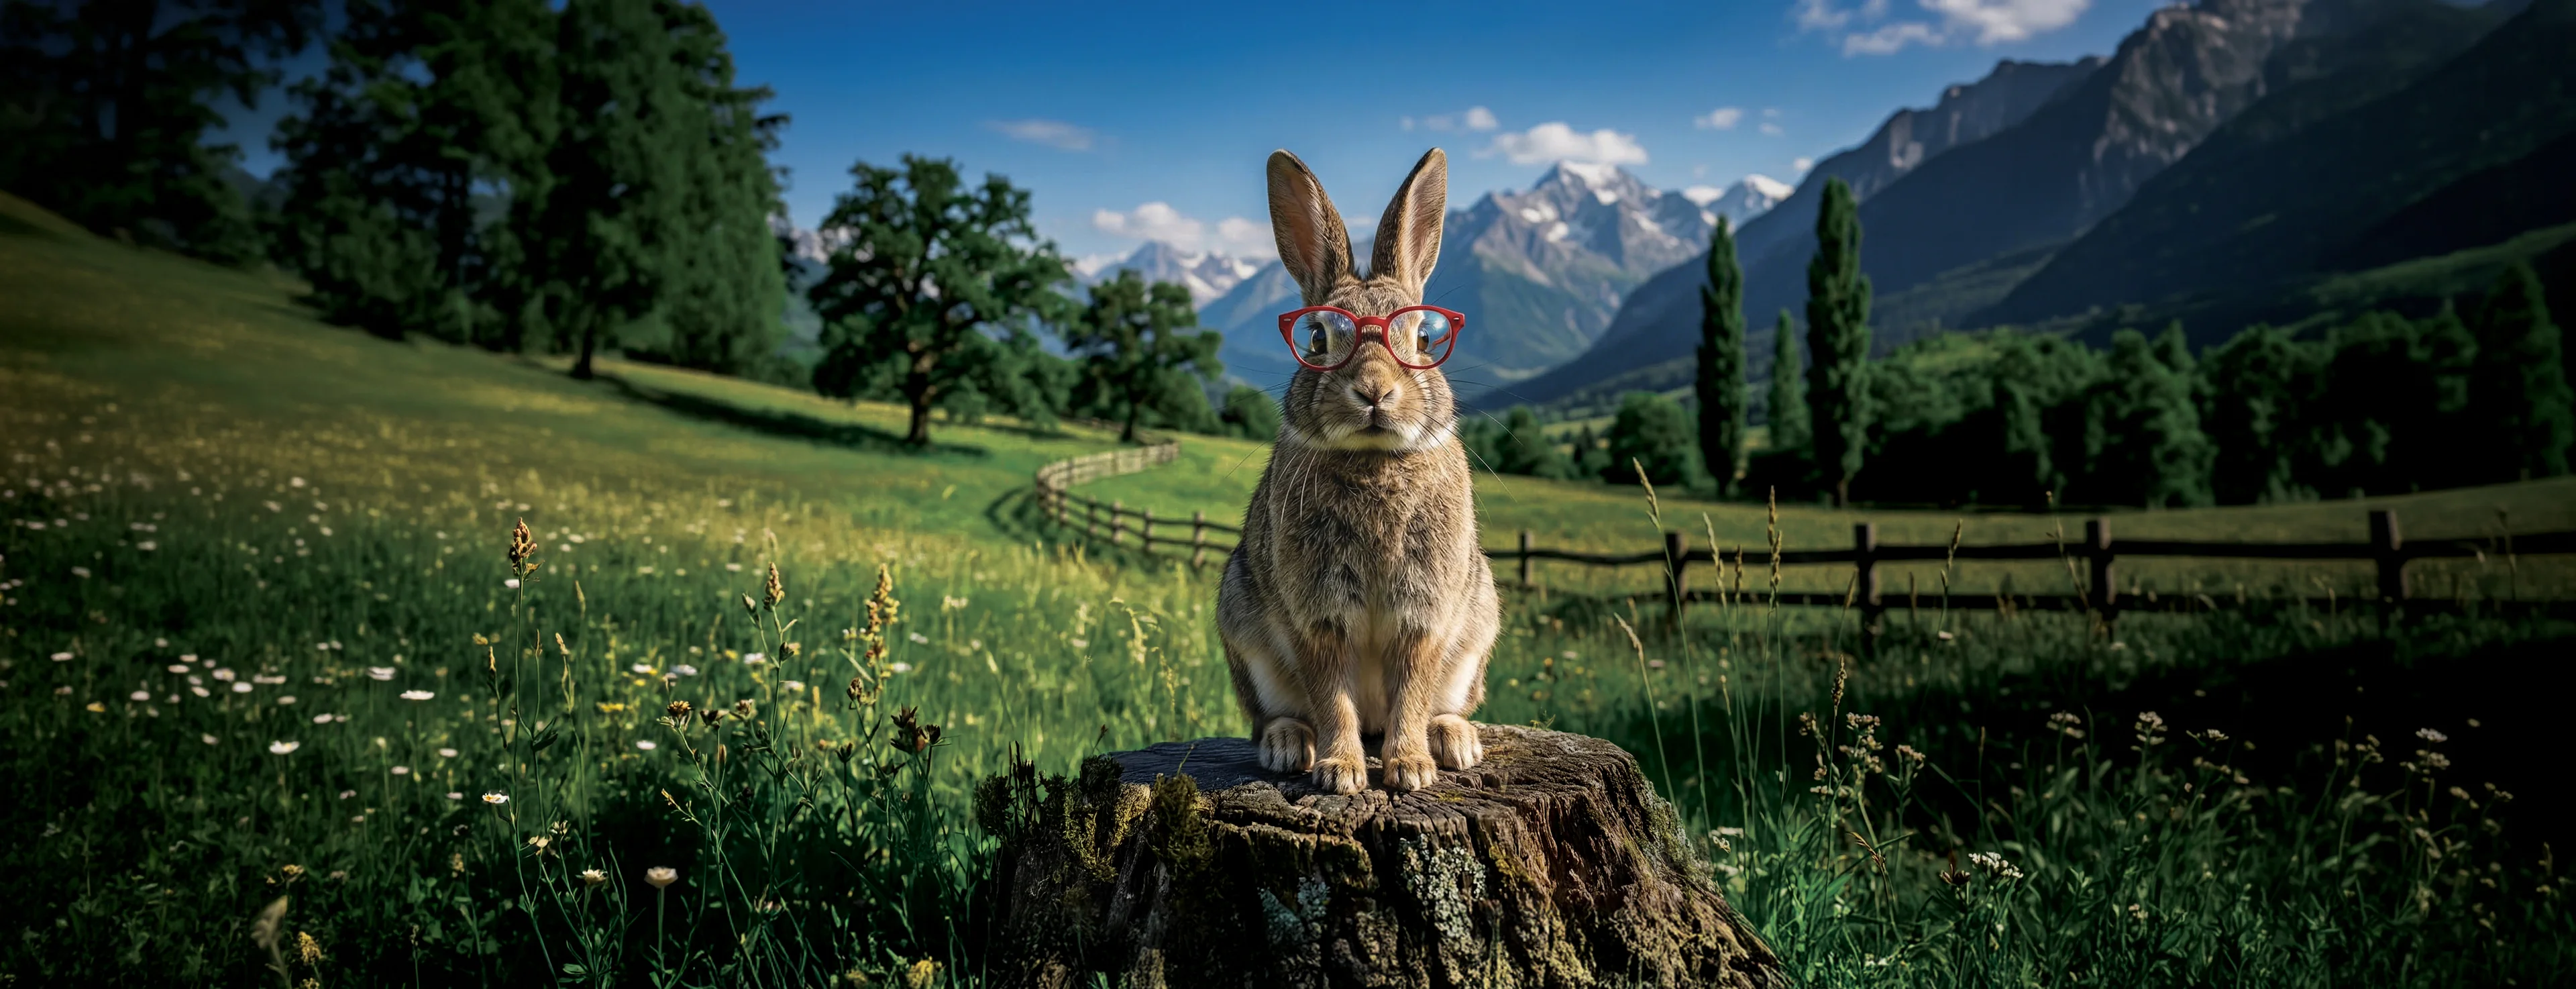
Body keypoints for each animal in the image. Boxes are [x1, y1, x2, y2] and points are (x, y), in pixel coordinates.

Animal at [1217, 148, 1500, 794]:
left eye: (1424, 337)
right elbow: (1332, 696)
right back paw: (1288, 746)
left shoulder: (1423, 614)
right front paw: (1342, 773)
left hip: (1476, 630)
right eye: (1318, 337)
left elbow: (1412, 689)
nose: (1374, 391)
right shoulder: (1319, 615)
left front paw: (1410, 770)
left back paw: (1453, 742)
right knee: (1281, 713)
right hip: (1244, 629)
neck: (1374, 461)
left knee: (1441, 703)